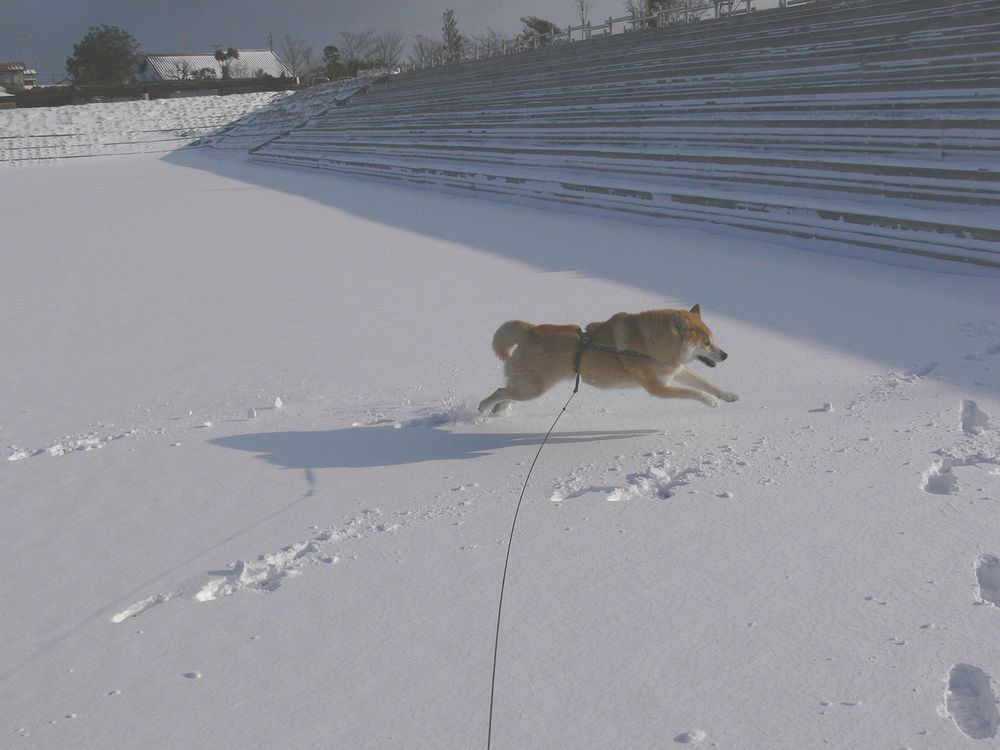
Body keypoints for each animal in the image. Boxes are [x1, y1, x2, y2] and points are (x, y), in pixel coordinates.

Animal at [480, 308, 740, 420]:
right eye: (706, 343)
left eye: (712, 340)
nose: (726, 355)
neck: (651, 344)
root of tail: (529, 330)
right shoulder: (660, 388)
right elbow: (694, 392)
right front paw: (711, 401)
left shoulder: (676, 371)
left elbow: (706, 383)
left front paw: (728, 395)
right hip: (533, 389)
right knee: (499, 391)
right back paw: (483, 409)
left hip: (528, 386)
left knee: (507, 393)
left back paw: (498, 412)